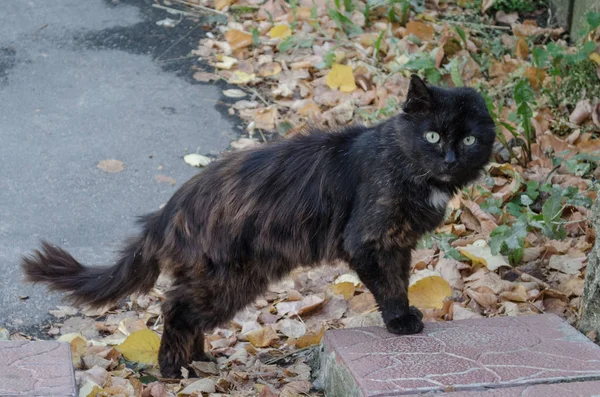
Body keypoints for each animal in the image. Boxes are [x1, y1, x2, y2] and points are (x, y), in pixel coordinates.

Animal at [21, 75, 494, 378]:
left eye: (469, 139)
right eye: (432, 136)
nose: (450, 158)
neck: (409, 168)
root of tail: (166, 212)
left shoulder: (399, 244)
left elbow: (401, 279)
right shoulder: (370, 241)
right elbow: (390, 286)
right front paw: (401, 322)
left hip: (232, 281)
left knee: (186, 312)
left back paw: (199, 362)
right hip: (228, 280)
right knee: (175, 310)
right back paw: (174, 372)